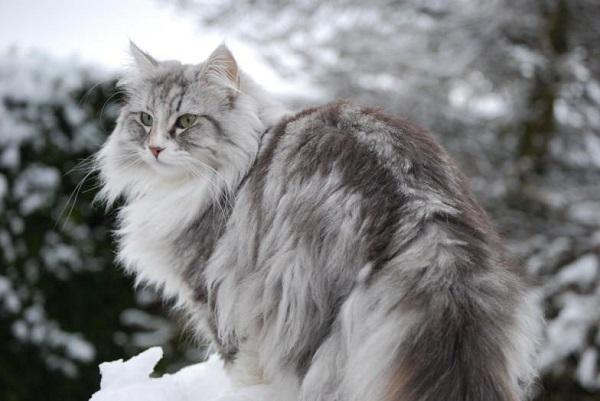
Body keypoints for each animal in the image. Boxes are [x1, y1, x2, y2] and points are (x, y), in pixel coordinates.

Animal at [96, 43, 540, 400]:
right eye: (144, 119)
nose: (154, 148)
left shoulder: (214, 293)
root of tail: (420, 209)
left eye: (186, 121)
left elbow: (240, 368)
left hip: (300, 304)